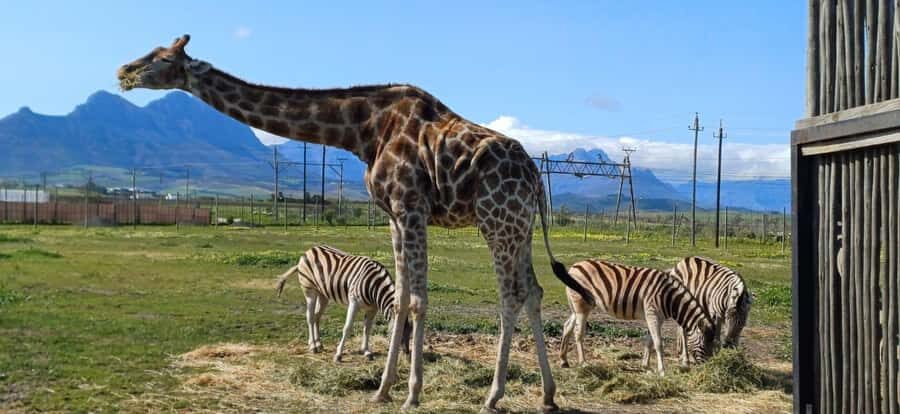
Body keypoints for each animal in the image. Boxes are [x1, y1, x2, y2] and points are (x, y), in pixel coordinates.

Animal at [117, 35, 595, 412]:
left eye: (162, 57)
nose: (123, 70)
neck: (361, 130)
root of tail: (536, 177)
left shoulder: (410, 206)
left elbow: (416, 299)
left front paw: (411, 393)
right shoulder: (393, 216)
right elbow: (401, 297)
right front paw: (383, 388)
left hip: (497, 221)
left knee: (510, 295)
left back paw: (493, 396)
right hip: (520, 227)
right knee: (533, 290)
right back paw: (548, 394)